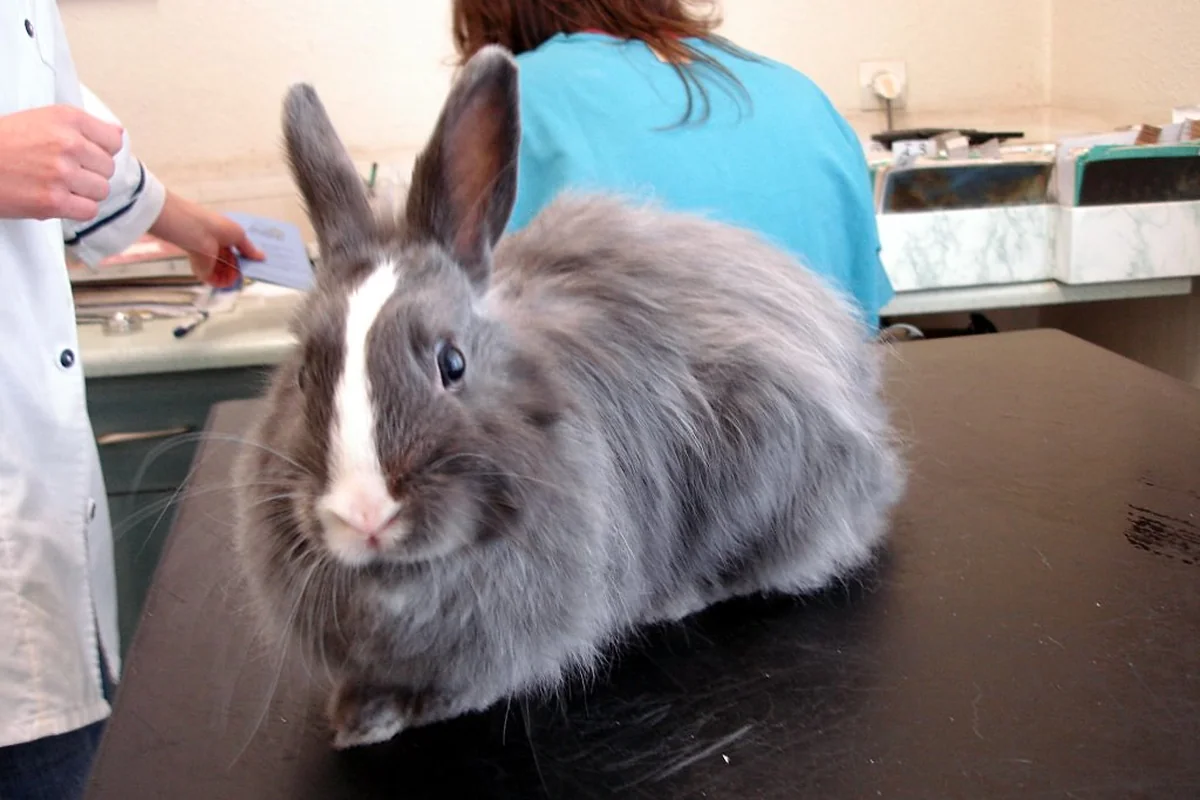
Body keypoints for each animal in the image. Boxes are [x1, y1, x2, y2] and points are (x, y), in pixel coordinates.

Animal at [231, 44, 905, 751]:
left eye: (452, 363)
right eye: (303, 375)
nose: (364, 514)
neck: (404, 581)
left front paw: (382, 720)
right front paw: (355, 713)